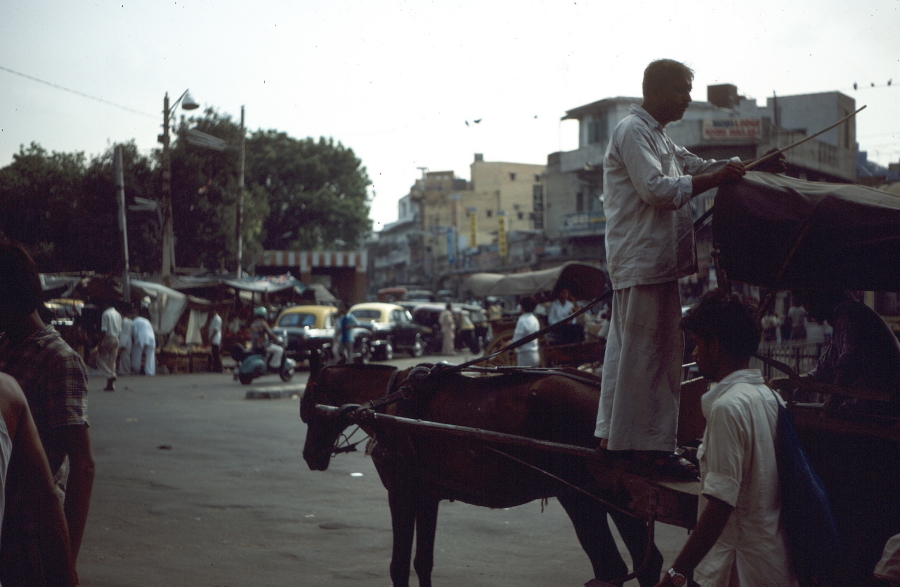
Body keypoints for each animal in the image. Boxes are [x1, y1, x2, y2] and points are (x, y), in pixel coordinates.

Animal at [302, 360, 660, 587]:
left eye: (307, 408)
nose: (309, 457)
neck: (388, 401)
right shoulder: (426, 495)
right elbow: (423, 562)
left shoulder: (400, 493)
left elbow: (399, 567)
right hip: (619, 497)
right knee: (646, 564)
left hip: (578, 497)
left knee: (610, 568)